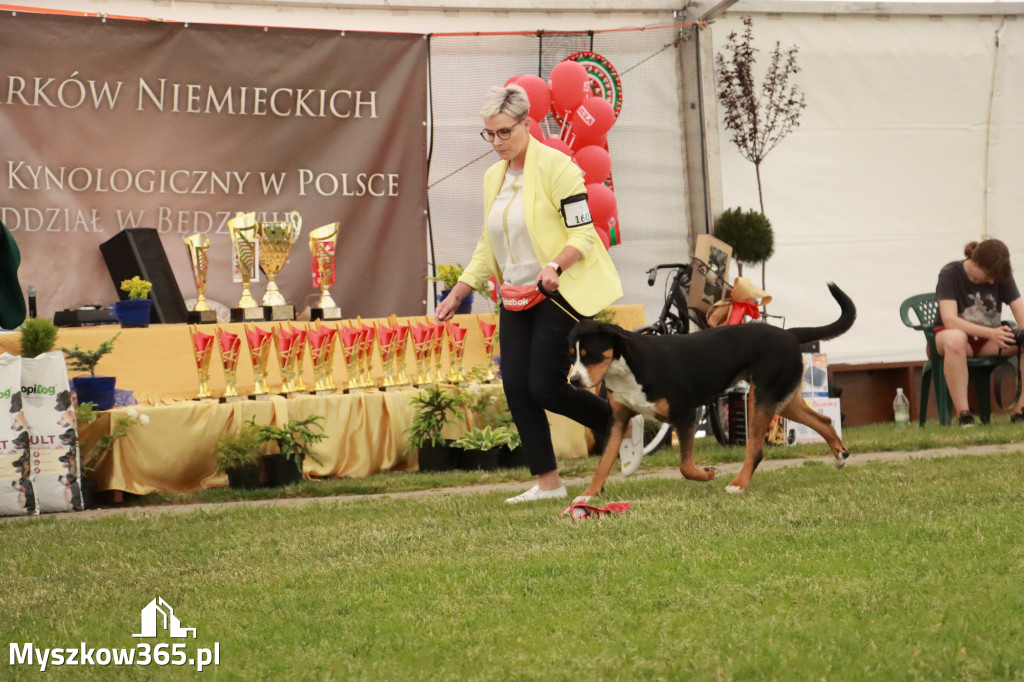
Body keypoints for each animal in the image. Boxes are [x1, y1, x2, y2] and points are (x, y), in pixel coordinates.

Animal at [569, 278, 856, 497]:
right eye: (572, 355)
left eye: (589, 354)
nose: (573, 381)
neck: (629, 369)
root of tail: (789, 334)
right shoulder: (618, 420)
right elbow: (604, 463)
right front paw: (588, 495)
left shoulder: (685, 415)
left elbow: (685, 467)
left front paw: (709, 473)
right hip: (783, 399)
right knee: (824, 420)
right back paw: (840, 455)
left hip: (761, 398)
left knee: (755, 449)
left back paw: (738, 485)